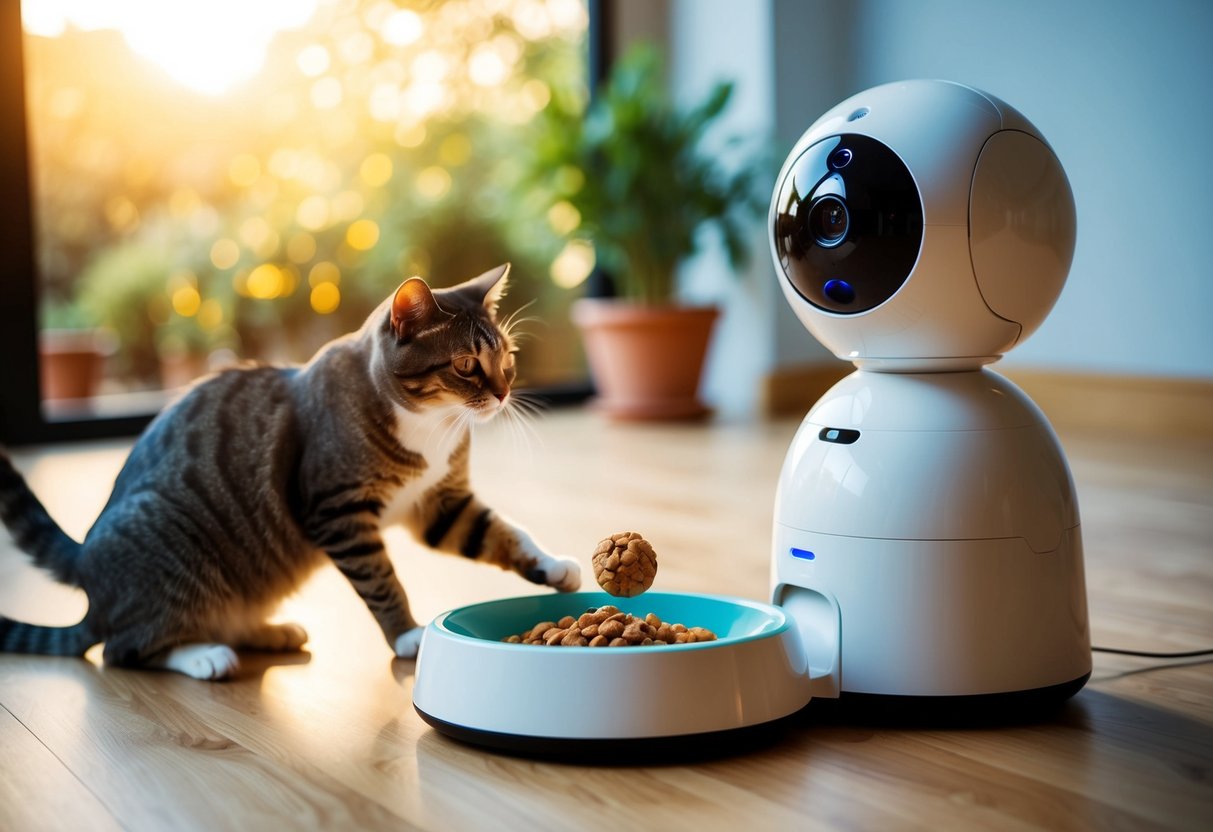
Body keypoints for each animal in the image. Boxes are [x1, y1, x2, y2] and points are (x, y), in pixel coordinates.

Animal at [0, 264, 582, 679]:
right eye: (465, 365)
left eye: (508, 359)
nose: (503, 393)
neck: (431, 425)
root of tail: (84, 567)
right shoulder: (336, 508)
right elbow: (382, 578)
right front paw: (407, 635)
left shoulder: (439, 502)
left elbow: (501, 532)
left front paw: (552, 566)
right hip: (172, 545)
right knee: (123, 649)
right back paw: (203, 655)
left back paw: (270, 631)